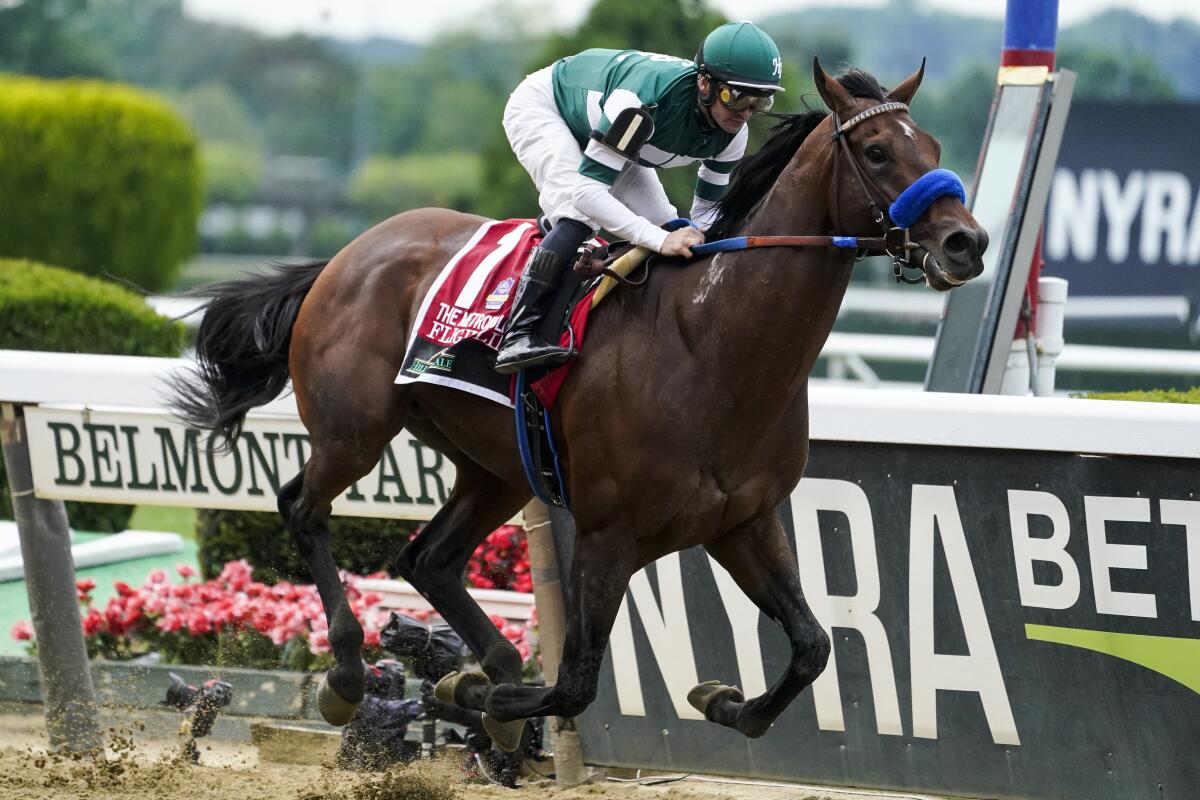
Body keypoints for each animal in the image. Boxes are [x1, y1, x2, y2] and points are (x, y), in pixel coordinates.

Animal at [174, 59, 988, 748]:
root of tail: (343, 256)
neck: (711, 347)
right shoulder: (607, 533)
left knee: (427, 557)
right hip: (355, 431)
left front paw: (723, 700)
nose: (967, 243)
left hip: (496, 467)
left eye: (935, 144)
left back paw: (490, 663)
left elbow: (812, 646)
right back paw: (350, 673)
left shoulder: (743, 520)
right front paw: (472, 694)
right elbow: (573, 684)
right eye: (877, 152)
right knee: (302, 506)